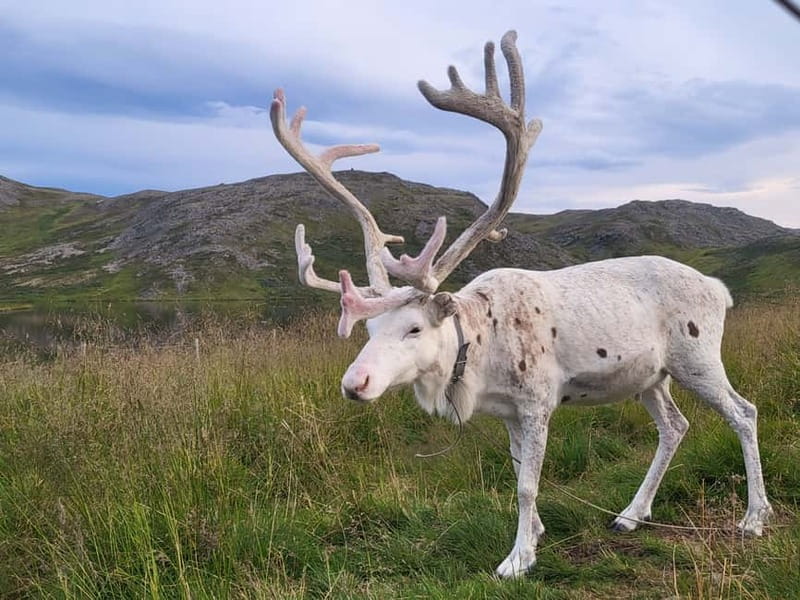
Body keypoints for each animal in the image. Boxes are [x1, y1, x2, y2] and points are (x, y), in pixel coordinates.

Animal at [269, 30, 772, 578]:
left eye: (414, 329)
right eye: (368, 330)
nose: (354, 383)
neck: (475, 354)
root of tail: (719, 289)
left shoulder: (536, 401)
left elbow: (528, 485)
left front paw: (517, 558)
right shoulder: (508, 411)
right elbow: (517, 477)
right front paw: (534, 535)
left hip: (697, 357)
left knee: (744, 412)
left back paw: (754, 517)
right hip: (649, 375)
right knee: (675, 426)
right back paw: (631, 514)